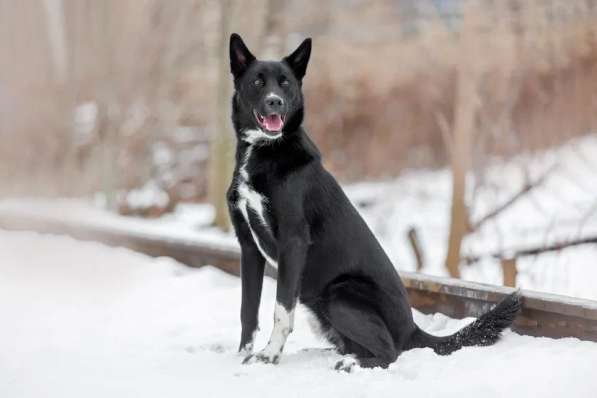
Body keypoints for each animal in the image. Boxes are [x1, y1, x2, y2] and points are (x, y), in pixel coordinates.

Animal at [226, 32, 520, 372]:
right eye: (258, 82)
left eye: (285, 83)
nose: (276, 101)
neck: (264, 151)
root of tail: (412, 328)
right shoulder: (248, 246)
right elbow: (247, 310)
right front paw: (242, 353)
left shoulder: (293, 241)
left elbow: (281, 309)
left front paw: (270, 355)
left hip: (339, 294)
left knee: (390, 352)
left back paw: (351, 363)